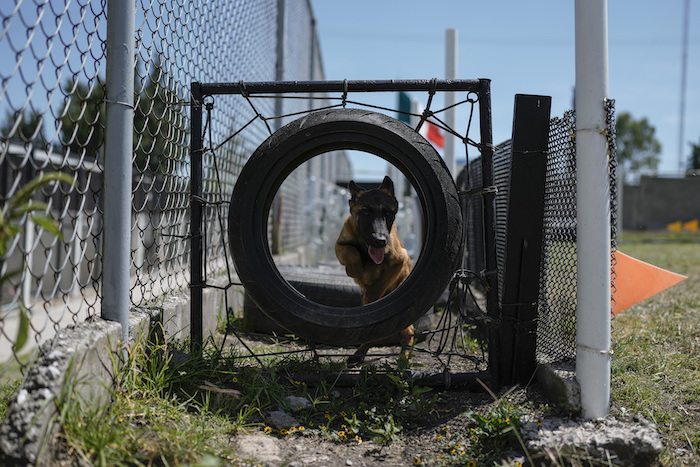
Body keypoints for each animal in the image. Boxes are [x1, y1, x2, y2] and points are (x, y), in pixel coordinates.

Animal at [334, 176, 412, 366]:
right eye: (366, 213)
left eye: (388, 214)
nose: (380, 241)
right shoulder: (340, 246)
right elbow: (351, 251)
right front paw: (355, 269)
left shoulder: (399, 260)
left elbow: (376, 288)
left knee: (407, 333)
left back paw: (402, 357)